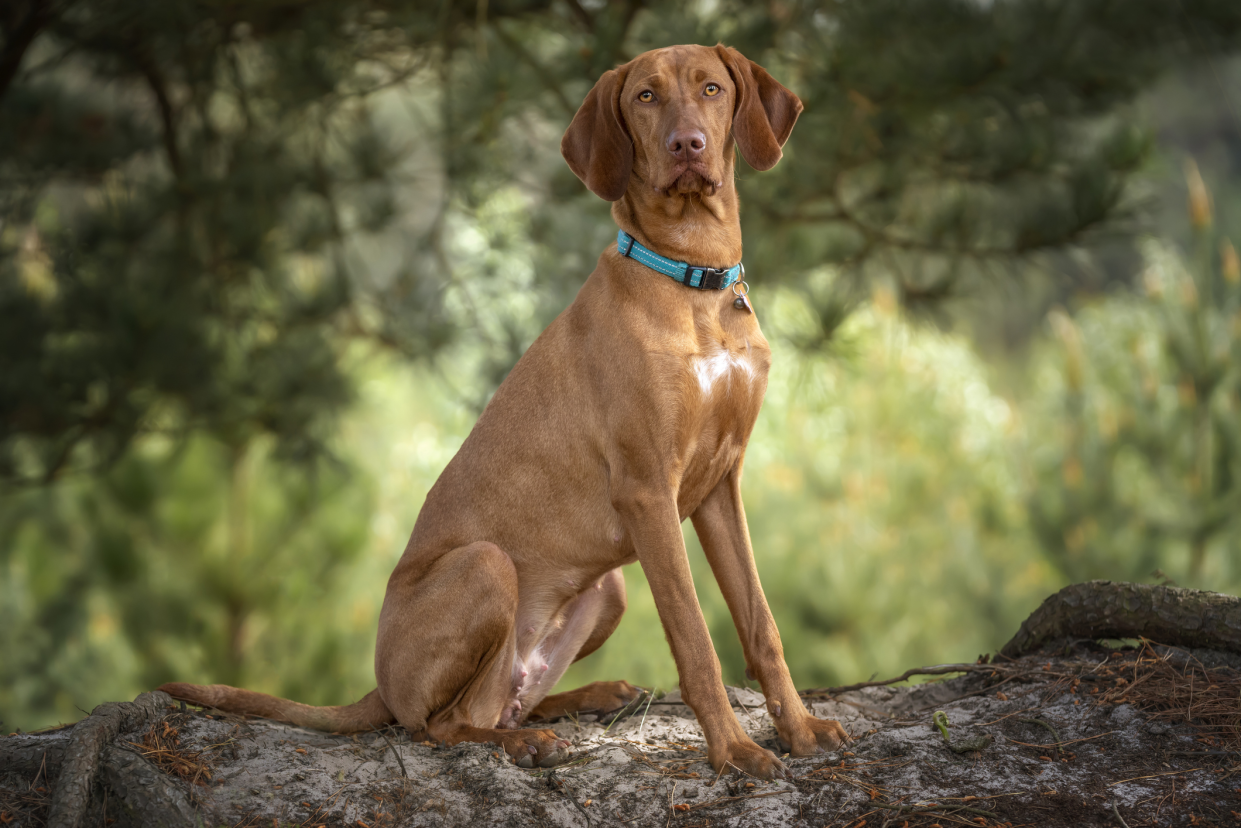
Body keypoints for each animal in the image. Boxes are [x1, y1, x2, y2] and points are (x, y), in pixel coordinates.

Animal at [160, 43, 848, 784]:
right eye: (645, 97)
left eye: (712, 88)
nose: (686, 144)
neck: (693, 279)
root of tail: (379, 684)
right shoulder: (647, 491)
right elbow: (694, 635)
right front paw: (734, 750)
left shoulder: (719, 482)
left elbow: (760, 622)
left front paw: (800, 729)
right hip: (487, 565)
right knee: (439, 725)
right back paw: (522, 743)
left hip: (607, 589)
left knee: (505, 704)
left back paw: (588, 698)